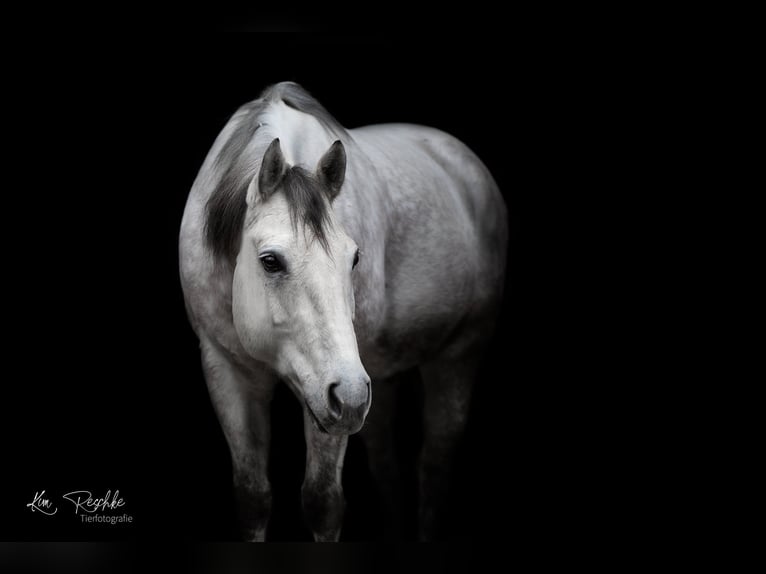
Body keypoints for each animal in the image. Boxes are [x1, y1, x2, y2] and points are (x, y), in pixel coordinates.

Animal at [177, 82, 508, 544]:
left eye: (354, 259)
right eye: (270, 261)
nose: (349, 396)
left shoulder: (328, 398)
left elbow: (322, 502)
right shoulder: (226, 369)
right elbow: (253, 497)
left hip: (455, 358)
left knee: (434, 467)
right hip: (378, 380)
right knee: (388, 470)